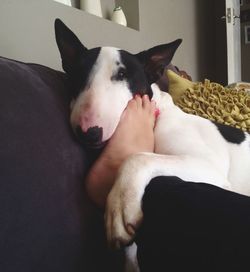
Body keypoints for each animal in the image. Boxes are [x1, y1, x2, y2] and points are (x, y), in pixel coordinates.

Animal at [55, 18, 250, 270]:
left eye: (123, 74)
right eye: (77, 76)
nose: (89, 133)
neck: (159, 114)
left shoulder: (209, 167)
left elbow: (137, 157)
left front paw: (120, 205)